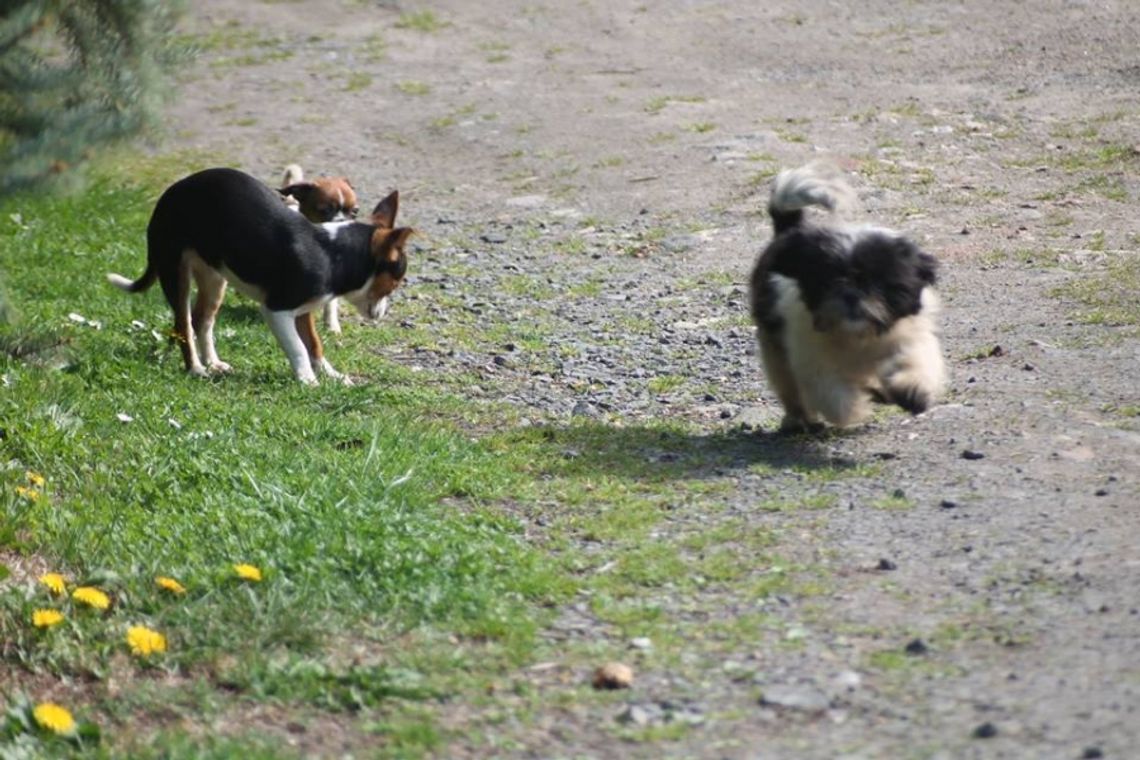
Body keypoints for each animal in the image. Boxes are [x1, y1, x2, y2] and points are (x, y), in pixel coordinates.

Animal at [747, 162, 943, 430]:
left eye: (879, 281)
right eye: (828, 279)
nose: (851, 293)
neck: (857, 337)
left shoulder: (908, 335)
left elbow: (912, 360)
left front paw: (911, 391)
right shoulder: (813, 361)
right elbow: (837, 398)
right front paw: (864, 401)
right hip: (776, 353)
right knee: (790, 390)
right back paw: (797, 420)